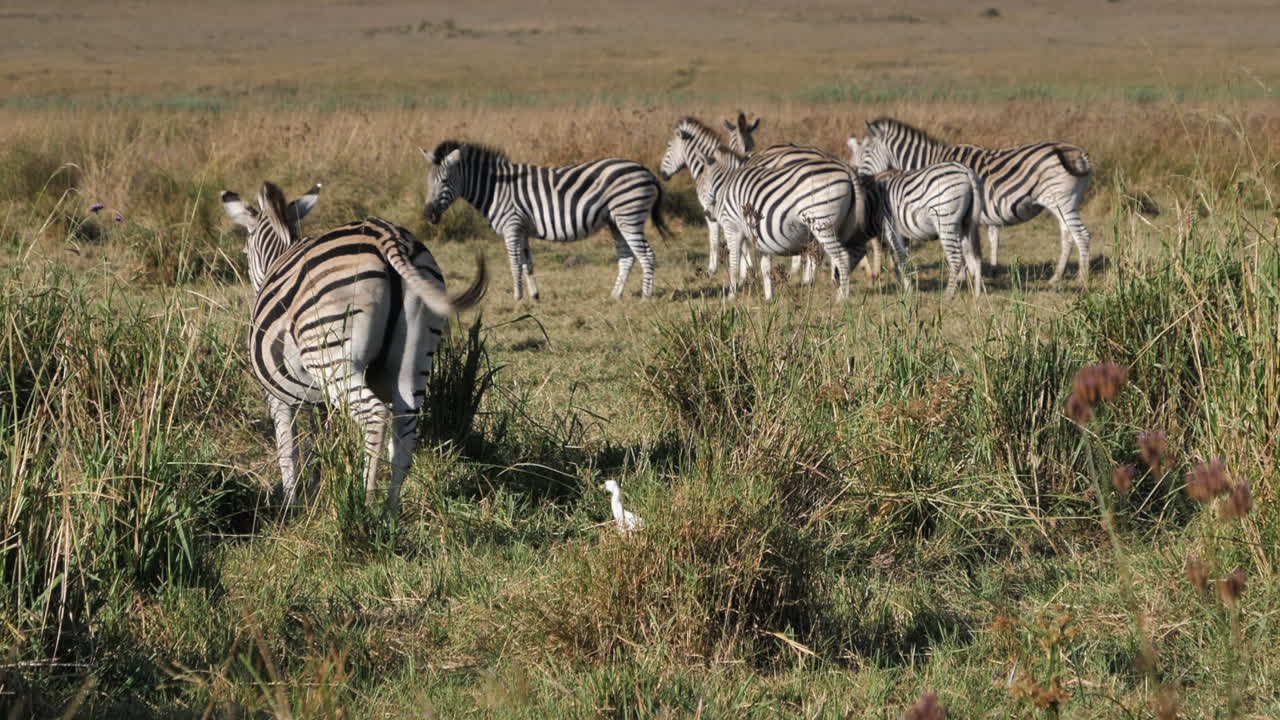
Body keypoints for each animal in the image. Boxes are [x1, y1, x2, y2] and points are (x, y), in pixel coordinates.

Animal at [222, 181, 487, 511]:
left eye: (245, 251)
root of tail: (389, 236)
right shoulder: (319, 399)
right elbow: (319, 443)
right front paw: (318, 492)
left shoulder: (278, 395)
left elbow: (287, 447)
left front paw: (290, 504)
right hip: (415, 357)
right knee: (405, 428)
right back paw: (390, 512)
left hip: (333, 356)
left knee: (375, 416)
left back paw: (364, 504)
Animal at [422, 141, 668, 301]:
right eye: (428, 181)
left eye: (445, 180)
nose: (427, 215)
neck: (496, 188)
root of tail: (647, 171)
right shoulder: (521, 229)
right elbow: (527, 263)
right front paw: (534, 295)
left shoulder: (512, 226)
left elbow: (514, 264)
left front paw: (517, 297)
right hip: (616, 221)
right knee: (627, 257)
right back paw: (615, 296)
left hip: (629, 216)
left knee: (647, 255)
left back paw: (646, 297)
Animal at [694, 146, 870, 301]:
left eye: (701, 184)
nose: (707, 214)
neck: (727, 185)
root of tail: (846, 168)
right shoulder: (759, 237)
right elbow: (765, 268)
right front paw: (768, 298)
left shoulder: (732, 227)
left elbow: (734, 263)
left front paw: (731, 295)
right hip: (844, 226)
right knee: (855, 251)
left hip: (822, 224)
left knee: (842, 256)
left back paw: (841, 298)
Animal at [847, 137, 985, 298]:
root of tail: (967, 171)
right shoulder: (902, 232)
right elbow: (901, 258)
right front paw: (902, 285)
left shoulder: (890, 228)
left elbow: (897, 256)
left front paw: (907, 290)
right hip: (968, 221)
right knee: (974, 255)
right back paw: (976, 294)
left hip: (945, 219)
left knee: (957, 259)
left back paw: (947, 296)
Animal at [861, 117, 1093, 284]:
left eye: (866, 152)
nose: (861, 181)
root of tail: (1079, 152)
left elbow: (962, 248)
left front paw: (963, 277)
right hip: (1062, 204)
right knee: (1067, 236)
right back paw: (1056, 278)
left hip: (1062, 201)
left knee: (1081, 235)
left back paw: (1082, 280)